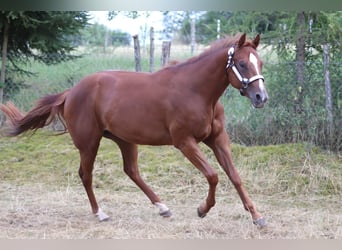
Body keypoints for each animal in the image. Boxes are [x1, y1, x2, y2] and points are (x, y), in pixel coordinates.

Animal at [0, 32, 268, 227]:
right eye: (242, 63)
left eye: (260, 62)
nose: (261, 97)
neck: (197, 91)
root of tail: (71, 92)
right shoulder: (185, 142)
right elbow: (213, 176)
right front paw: (202, 210)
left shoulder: (217, 139)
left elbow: (234, 176)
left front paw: (257, 217)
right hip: (89, 143)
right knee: (86, 175)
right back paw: (100, 213)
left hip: (125, 140)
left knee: (131, 171)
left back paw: (163, 208)